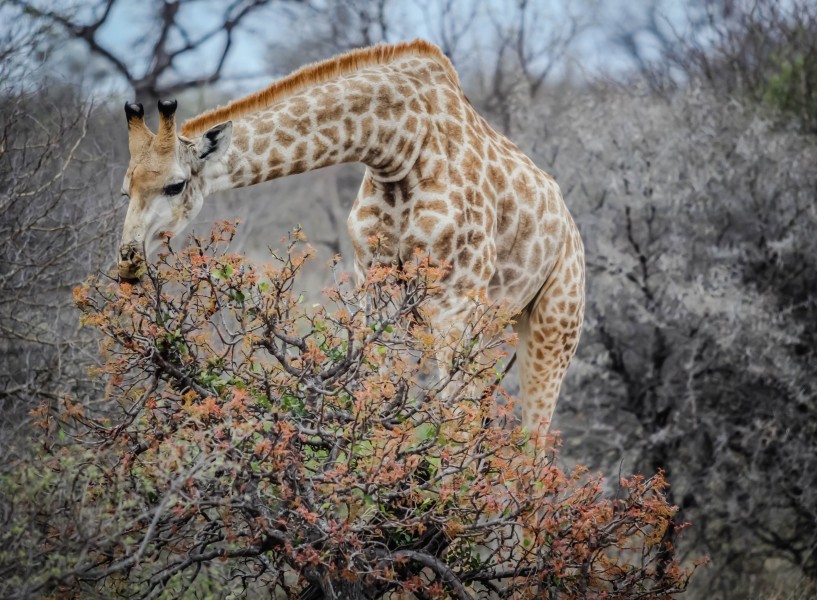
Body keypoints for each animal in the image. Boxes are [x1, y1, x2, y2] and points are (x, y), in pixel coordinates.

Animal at [118, 38, 584, 432]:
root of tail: (570, 224)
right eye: (126, 189)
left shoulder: (455, 297)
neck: (398, 145)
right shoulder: (372, 282)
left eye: (175, 185)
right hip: (498, 321)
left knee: (533, 440)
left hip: (555, 324)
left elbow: (452, 419)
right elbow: (374, 390)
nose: (128, 261)